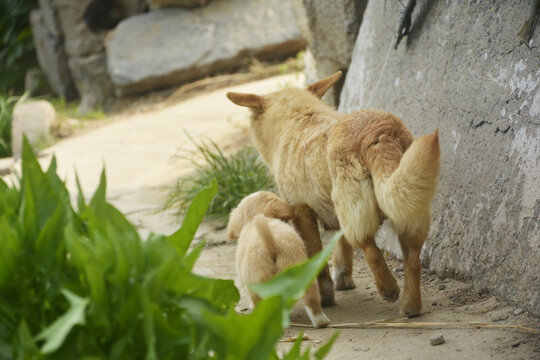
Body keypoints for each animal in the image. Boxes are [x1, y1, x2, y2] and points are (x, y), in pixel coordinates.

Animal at [226, 71, 440, 316]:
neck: (299, 118)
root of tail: (379, 132)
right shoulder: (331, 210)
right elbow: (341, 246)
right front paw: (343, 277)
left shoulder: (302, 212)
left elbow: (317, 258)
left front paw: (326, 294)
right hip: (408, 209)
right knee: (412, 259)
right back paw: (410, 306)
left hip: (355, 209)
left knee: (369, 248)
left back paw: (388, 288)